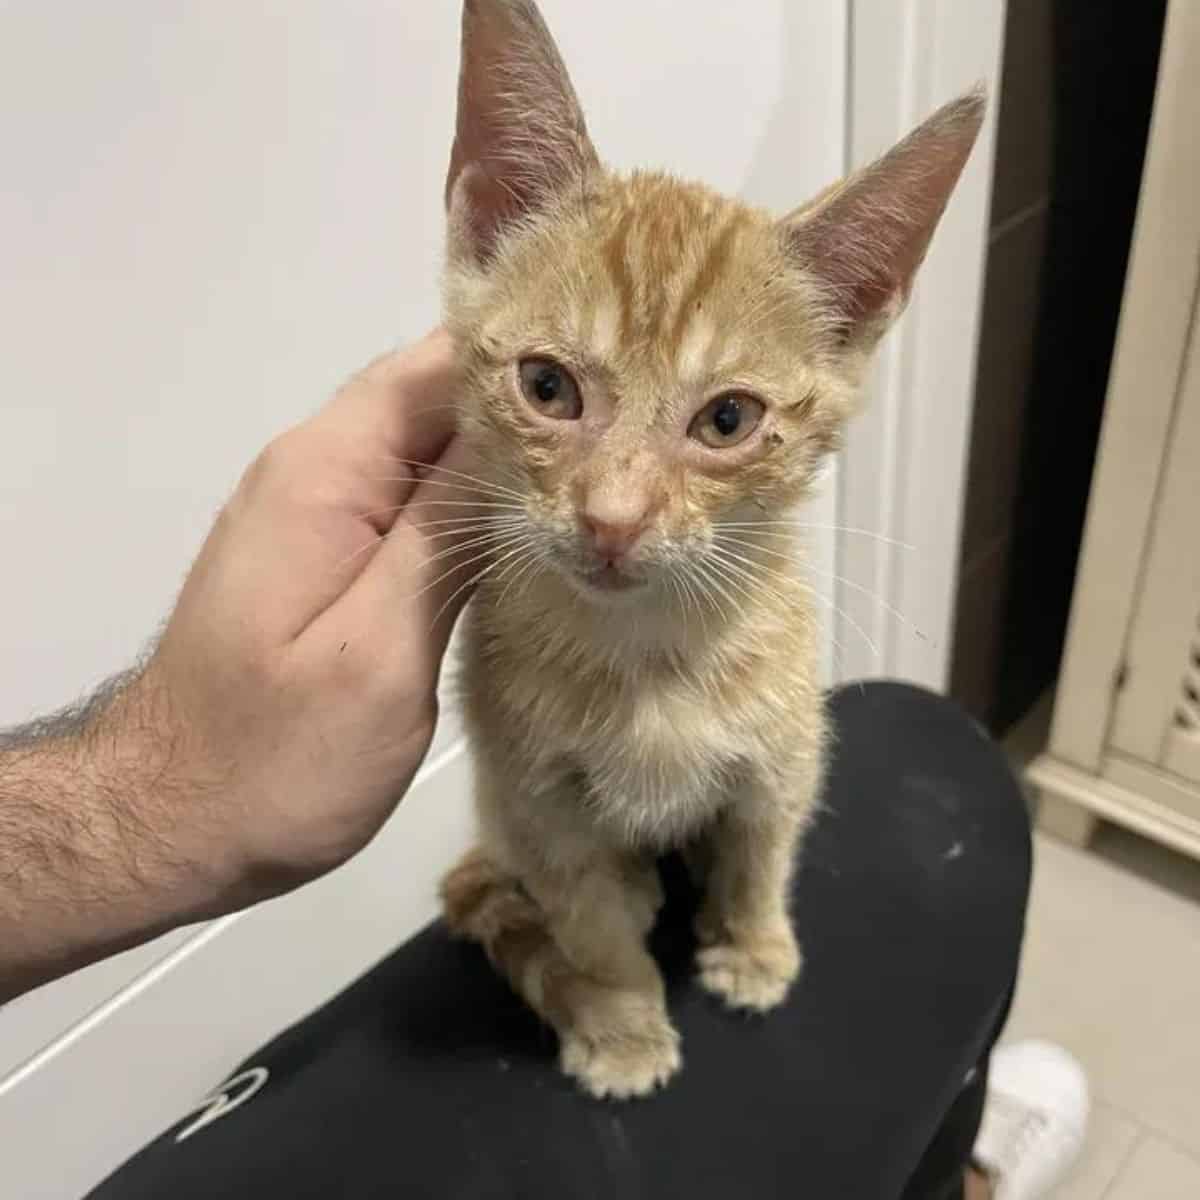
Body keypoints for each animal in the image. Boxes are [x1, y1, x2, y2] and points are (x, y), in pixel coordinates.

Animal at [436, 0, 979, 1099]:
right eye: (547, 387)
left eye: (727, 419)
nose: (613, 518)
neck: (650, 655)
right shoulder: (537, 800)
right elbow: (588, 924)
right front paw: (620, 1021)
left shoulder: (787, 750)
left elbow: (762, 850)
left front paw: (755, 946)